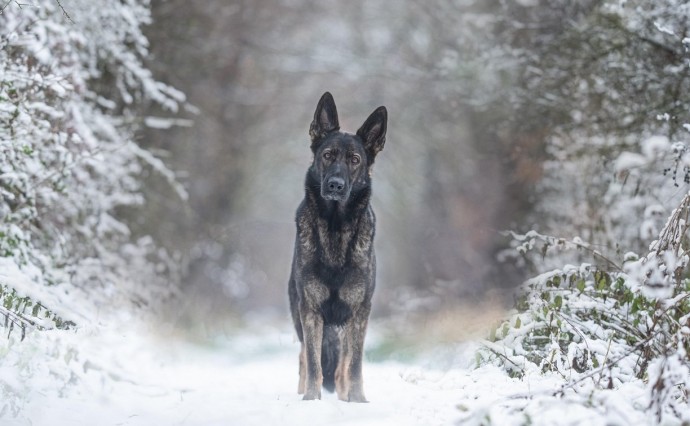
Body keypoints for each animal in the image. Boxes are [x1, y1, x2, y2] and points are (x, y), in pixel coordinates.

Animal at [286, 91, 388, 402]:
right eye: (327, 155)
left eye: (355, 159)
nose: (335, 185)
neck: (334, 228)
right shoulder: (310, 311)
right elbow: (314, 363)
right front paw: (310, 400)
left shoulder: (358, 313)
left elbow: (353, 366)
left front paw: (358, 400)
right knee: (305, 357)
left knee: (343, 364)